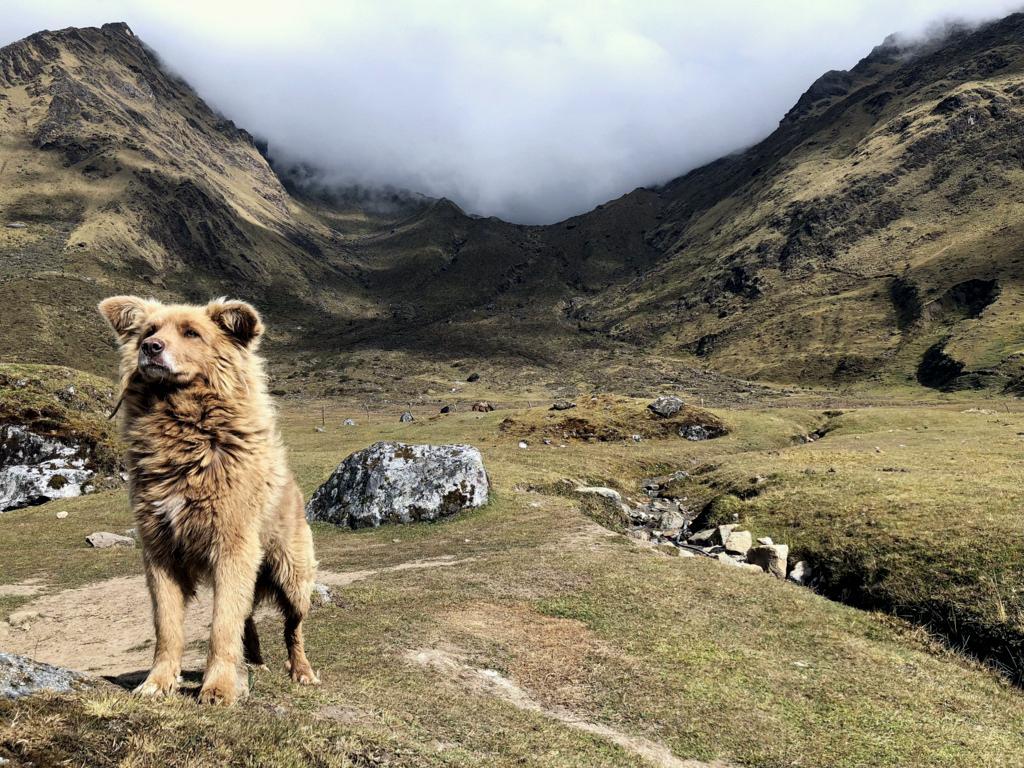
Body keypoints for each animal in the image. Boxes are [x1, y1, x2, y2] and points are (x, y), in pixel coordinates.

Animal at [100, 296, 317, 708]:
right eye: (150, 331)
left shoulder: (232, 545)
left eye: (191, 333)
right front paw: (157, 682)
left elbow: (222, 627)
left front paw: (219, 688)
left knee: (292, 629)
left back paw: (302, 672)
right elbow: (168, 627)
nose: (150, 348)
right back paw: (255, 664)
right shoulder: (160, 552)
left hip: (293, 575)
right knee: (248, 618)